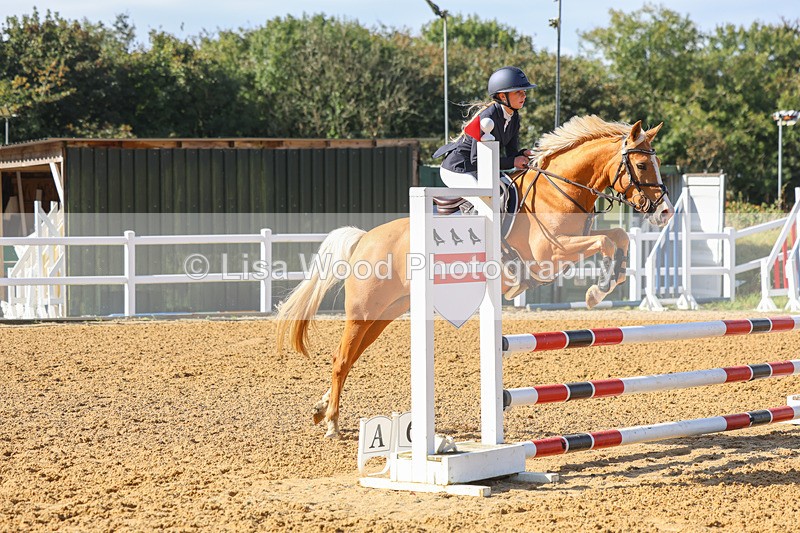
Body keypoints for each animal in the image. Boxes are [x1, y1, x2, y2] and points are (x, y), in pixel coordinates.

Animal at [276, 115, 674, 438]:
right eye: (641, 163)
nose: (665, 212)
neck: (560, 190)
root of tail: (364, 239)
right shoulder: (553, 253)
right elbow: (606, 241)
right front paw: (597, 290)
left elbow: (619, 237)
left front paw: (605, 285)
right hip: (363, 311)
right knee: (341, 359)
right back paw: (332, 422)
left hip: (385, 313)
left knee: (351, 357)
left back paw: (321, 409)